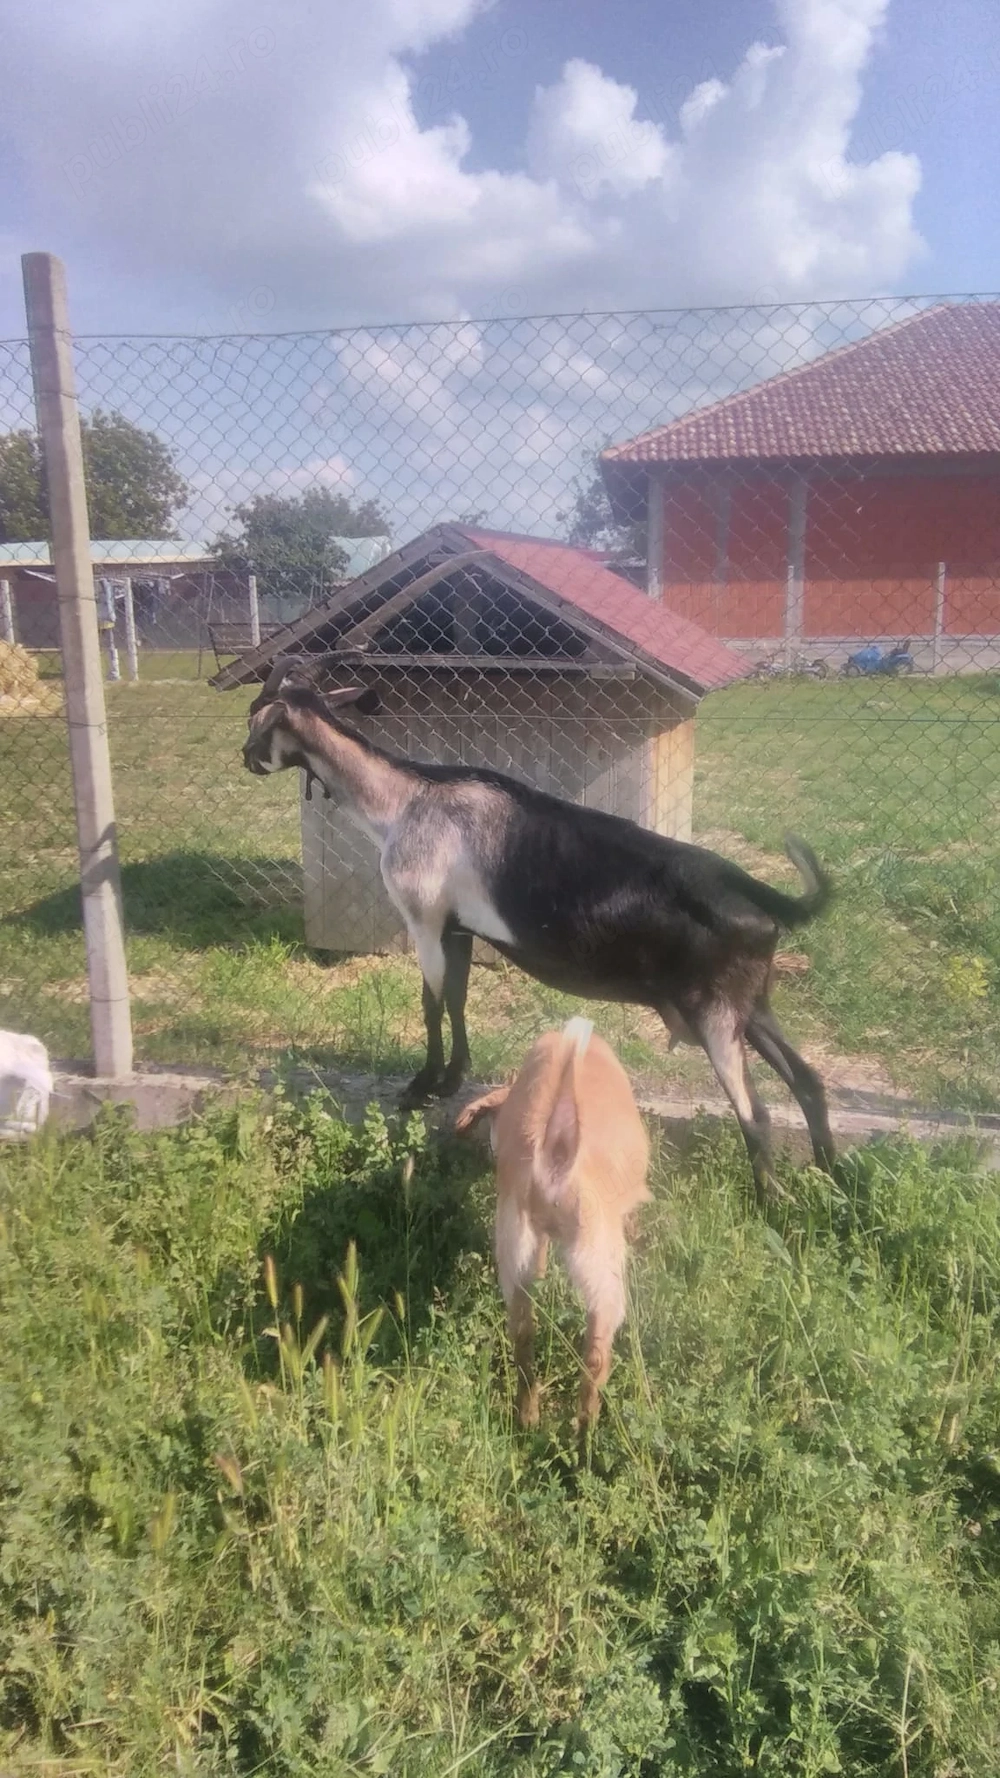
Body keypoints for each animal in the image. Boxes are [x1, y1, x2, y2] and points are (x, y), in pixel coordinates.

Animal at [242, 656, 835, 1203]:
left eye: (256, 715)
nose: (245, 759)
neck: (406, 800)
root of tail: (759, 895)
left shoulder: (424, 918)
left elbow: (431, 1003)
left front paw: (421, 1086)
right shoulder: (458, 927)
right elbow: (456, 999)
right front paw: (452, 1079)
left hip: (714, 1013)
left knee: (755, 1112)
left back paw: (772, 1204)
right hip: (750, 1003)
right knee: (808, 1081)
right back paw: (834, 1180)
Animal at [455, 1016, 651, 1429]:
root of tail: (555, 1157)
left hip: (517, 1256)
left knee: (523, 1338)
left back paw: (528, 1419)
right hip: (600, 1268)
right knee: (595, 1354)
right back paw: (586, 1428)